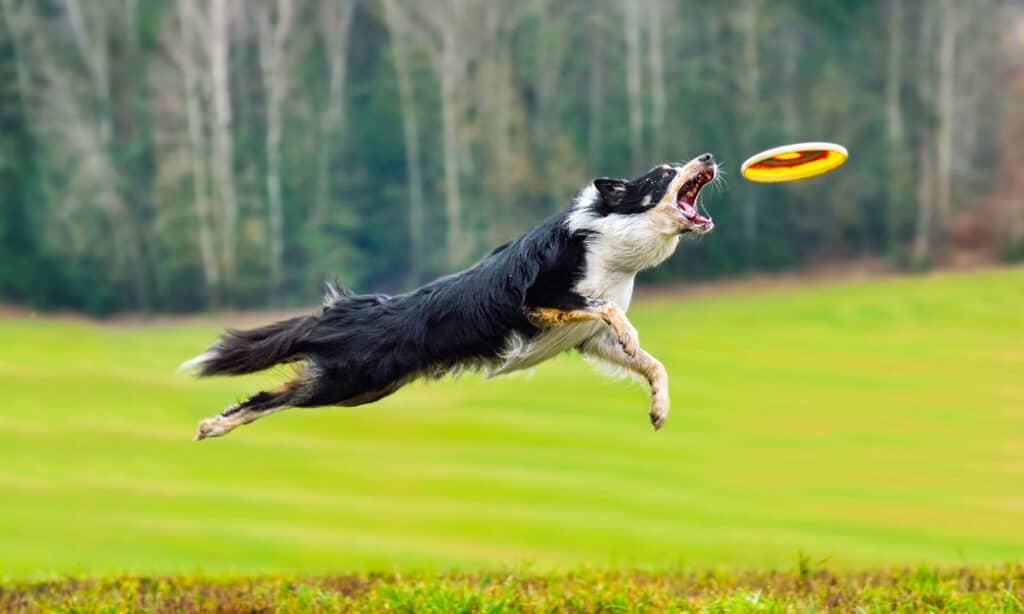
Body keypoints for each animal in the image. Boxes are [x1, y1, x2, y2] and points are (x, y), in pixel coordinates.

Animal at [184, 153, 720, 442]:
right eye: (662, 174)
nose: (709, 157)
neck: (613, 243)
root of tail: (341, 310)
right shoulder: (538, 301)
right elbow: (608, 310)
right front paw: (631, 336)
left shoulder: (586, 339)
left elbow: (653, 365)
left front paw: (659, 409)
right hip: (349, 381)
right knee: (267, 397)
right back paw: (212, 426)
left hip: (366, 388)